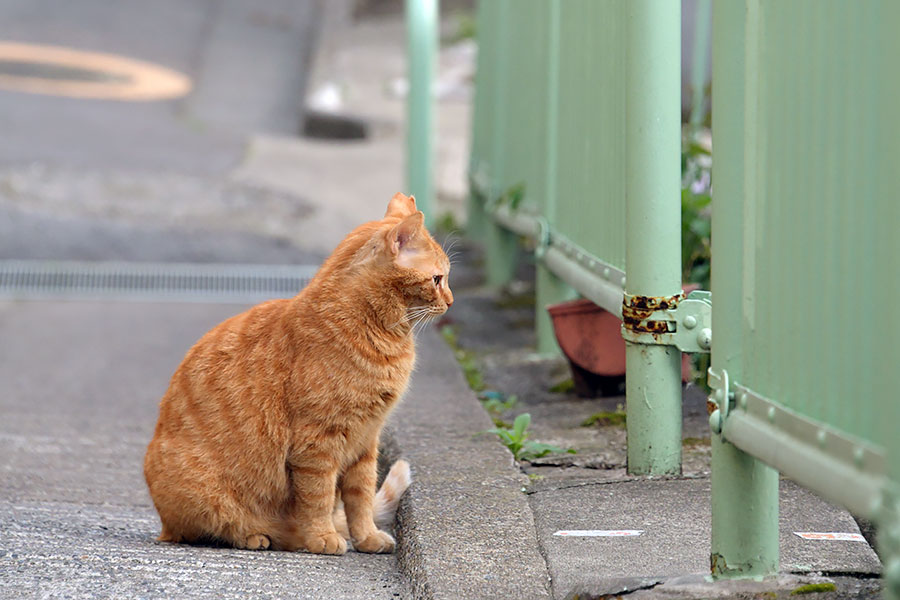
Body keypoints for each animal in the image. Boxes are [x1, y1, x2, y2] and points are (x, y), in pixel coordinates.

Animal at [145, 193, 454, 552]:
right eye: (437, 279)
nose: (451, 301)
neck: (380, 335)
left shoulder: (366, 441)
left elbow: (360, 497)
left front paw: (367, 537)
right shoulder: (317, 442)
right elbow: (318, 498)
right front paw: (323, 538)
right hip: (199, 496)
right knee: (209, 528)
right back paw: (255, 536)